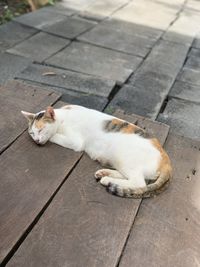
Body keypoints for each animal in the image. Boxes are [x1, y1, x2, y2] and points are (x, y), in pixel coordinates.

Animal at [21, 104, 172, 199]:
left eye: (40, 130)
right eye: (32, 133)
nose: (37, 141)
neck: (64, 116)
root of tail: (167, 162)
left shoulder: (76, 142)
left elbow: (53, 136)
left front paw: (50, 137)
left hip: (123, 156)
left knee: (139, 182)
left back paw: (107, 179)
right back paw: (104, 175)